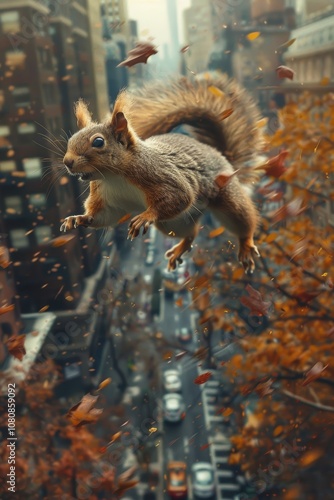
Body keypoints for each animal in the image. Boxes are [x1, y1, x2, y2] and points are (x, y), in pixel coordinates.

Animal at [59, 75, 264, 274]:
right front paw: (79, 218)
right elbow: (105, 216)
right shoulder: (106, 197)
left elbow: (180, 196)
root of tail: (222, 156)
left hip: (226, 196)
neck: (113, 177)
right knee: (191, 233)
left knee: (243, 219)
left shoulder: (160, 175)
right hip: (174, 223)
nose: (67, 161)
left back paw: (246, 245)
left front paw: (146, 216)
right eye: (71, 140)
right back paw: (180, 248)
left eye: (98, 142)